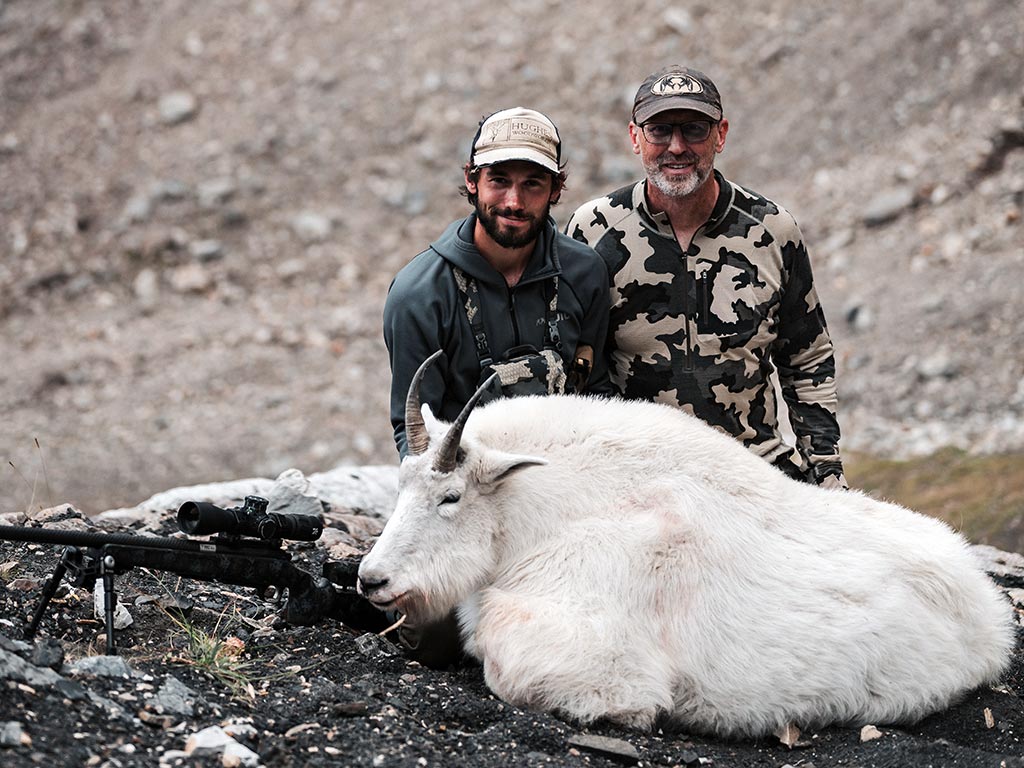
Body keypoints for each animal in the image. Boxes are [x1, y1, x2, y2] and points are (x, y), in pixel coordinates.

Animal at [358, 351, 1015, 738]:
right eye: (400, 483)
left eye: (450, 498)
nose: (372, 579)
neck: (544, 514)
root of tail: (991, 615)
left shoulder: (594, 647)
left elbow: (513, 666)